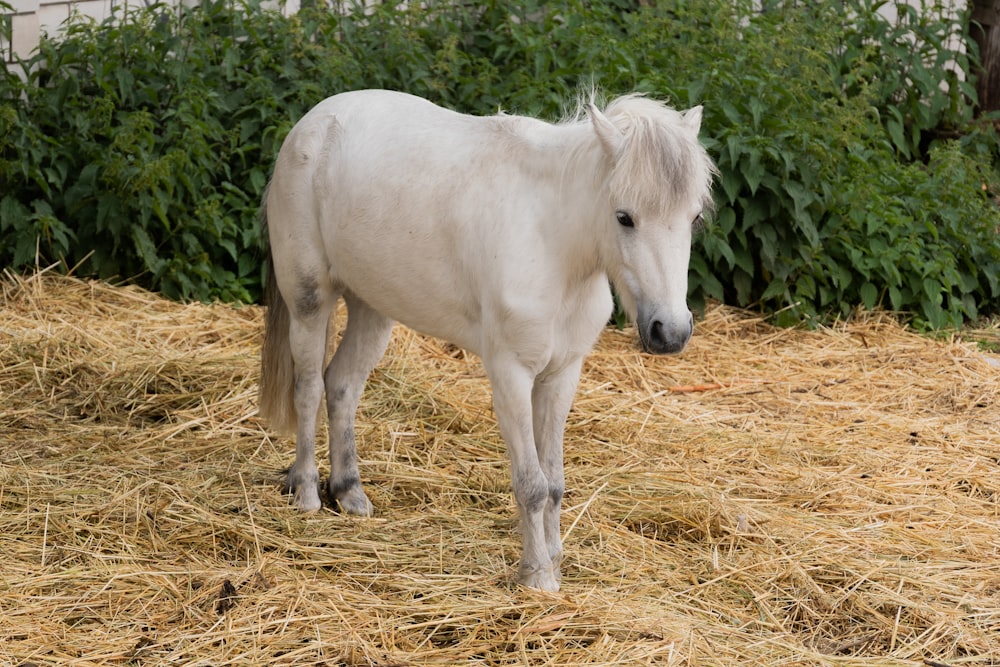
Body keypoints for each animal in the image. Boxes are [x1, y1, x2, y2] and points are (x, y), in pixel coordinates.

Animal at [256, 87, 712, 588]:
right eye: (625, 217)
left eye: (693, 217)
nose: (670, 331)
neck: (551, 245)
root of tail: (312, 123)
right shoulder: (511, 376)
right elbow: (532, 484)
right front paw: (538, 577)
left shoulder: (561, 376)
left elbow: (554, 482)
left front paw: (554, 560)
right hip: (309, 302)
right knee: (308, 390)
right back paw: (307, 492)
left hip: (373, 308)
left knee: (341, 386)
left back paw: (350, 493)